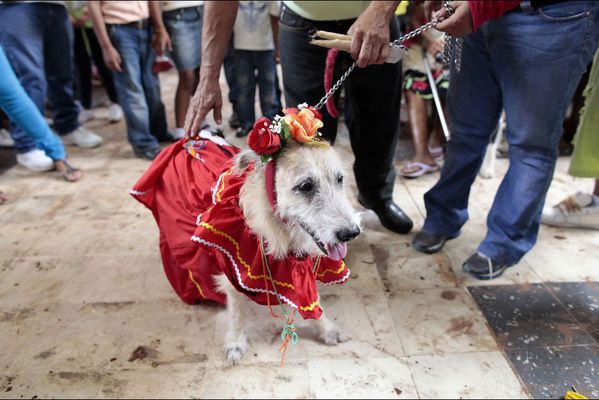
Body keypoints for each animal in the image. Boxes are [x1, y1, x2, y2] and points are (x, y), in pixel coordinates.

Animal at [132, 108, 360, 364]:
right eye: (305, 186)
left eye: (340, 179)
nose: (351, 233)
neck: (271, 226)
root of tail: (192, 139)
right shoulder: (233, 267)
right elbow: (237, 311)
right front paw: (235, 342)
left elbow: (313, 300)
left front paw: (327, 328)